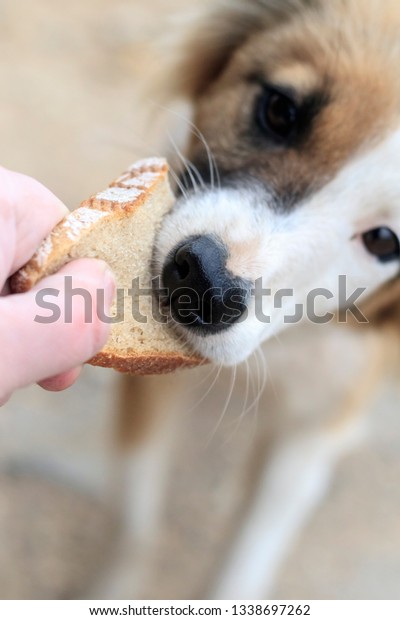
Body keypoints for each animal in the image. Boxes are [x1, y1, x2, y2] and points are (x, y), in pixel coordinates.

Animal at [98, 0, 400, 600]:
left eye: (385, 240)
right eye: (280, 110)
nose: (203, 282)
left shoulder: (314, 425)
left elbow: (247, 561)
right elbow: (134, 518)